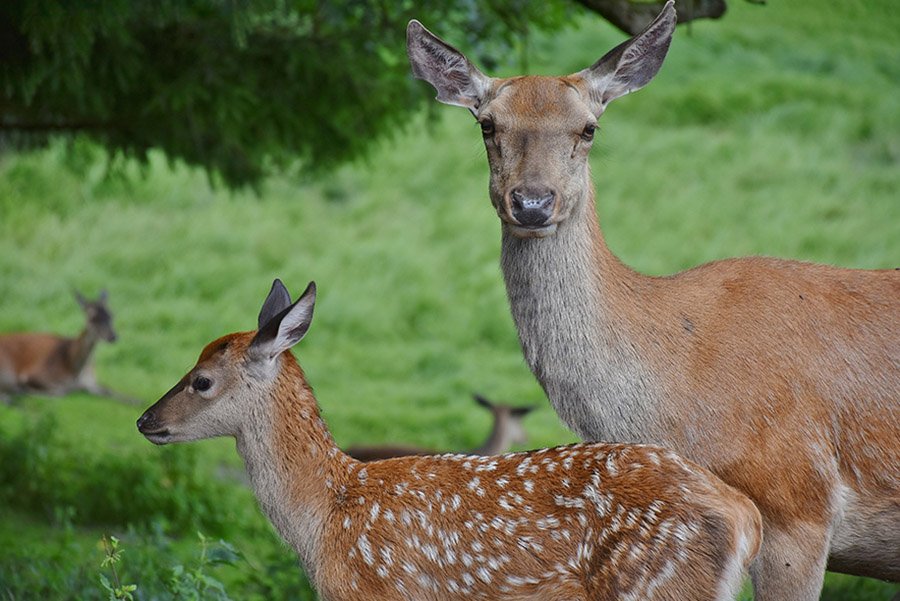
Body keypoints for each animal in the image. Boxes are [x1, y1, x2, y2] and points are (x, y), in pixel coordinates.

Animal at [0, 290, 134, 404]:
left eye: (112, 314)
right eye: (92, 318)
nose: (113, 336)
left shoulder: (91, 382)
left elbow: (112, 391)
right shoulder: (32, 374)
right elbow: (61, 392)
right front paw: (26, 391)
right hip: (8, 373)